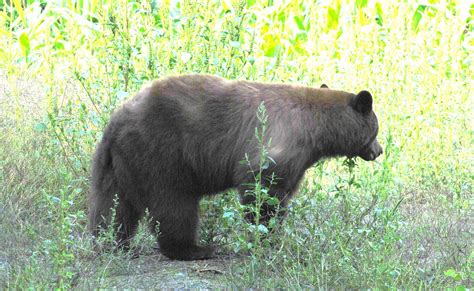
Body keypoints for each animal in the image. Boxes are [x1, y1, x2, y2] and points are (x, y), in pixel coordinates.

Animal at [89, 74, 384, 262]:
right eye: (376, 129)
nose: (379, 150)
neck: (314, 127)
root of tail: (116, 121)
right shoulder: (278, 143)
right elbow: (263, 190)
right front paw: (267, 238)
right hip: (161, 154)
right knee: (173, 204)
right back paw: (194, 249)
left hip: (119, 162)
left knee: (112, 206)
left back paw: (111, 244)